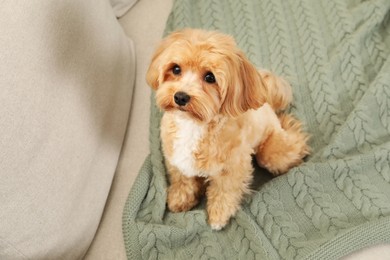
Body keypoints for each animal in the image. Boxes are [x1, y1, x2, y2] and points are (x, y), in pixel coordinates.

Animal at [145, 29, 310, 231]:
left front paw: (218, 215)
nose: (181, 97)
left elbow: (224, 191)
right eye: (176, 69)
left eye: (210, 77)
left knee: (294, 143)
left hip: (272, 153)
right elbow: (182, 180)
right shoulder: (176, 160)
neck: (193, 126)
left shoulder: (232, 168)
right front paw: (180, 198)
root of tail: (267, 102)